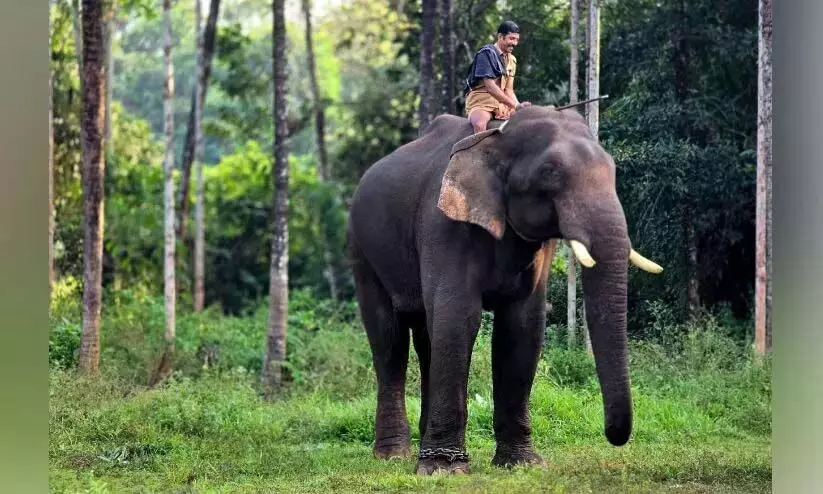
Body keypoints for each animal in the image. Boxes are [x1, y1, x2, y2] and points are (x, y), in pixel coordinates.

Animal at [346, 106, 664, 476]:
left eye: (613, 170)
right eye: (549, 172)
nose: (613, 435)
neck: (497, 137)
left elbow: (521, 326)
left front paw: (522, 464)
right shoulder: (444, 225)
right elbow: (458, 319)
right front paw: (444, 470)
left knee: (426, 336)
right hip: (363, 250)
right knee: (389, 338)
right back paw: (393, 454)